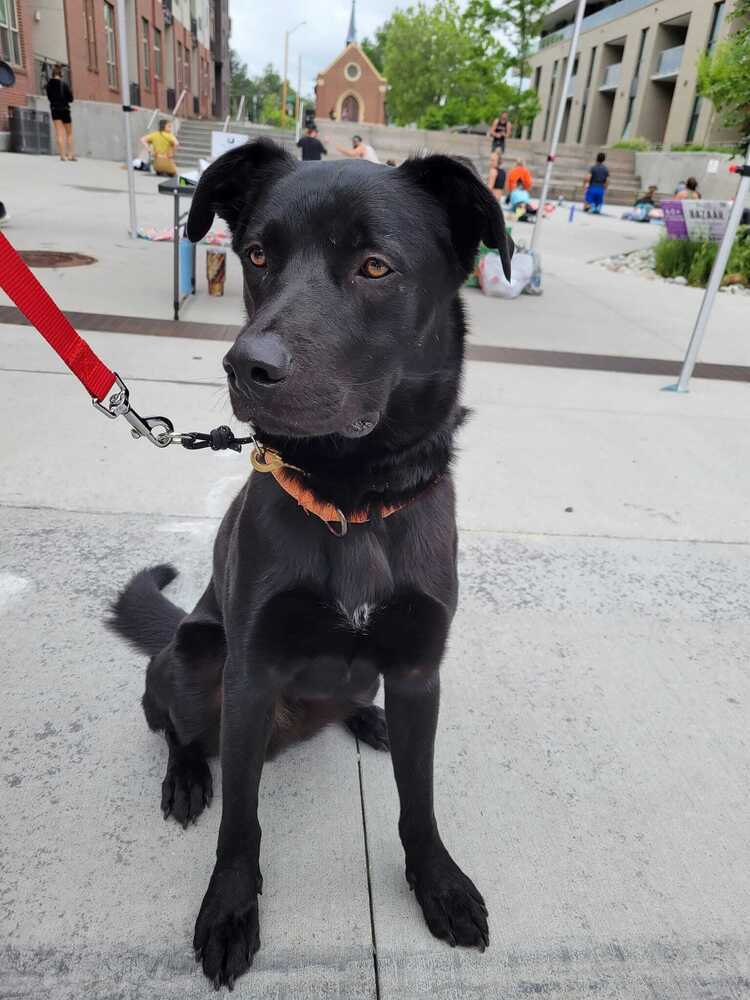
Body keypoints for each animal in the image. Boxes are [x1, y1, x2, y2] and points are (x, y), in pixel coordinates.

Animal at [108, 141, 516, 992]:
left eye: (374, 266)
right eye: (258, 255)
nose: (244, 366)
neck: (353, 502)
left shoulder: (420, 670)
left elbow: (419, 802)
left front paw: (438, 884)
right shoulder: (251, 674)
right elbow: (241, 824)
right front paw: (229, 910)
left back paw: (366, 717)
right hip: (198, 653)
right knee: (169, 720)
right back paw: (186, 775)